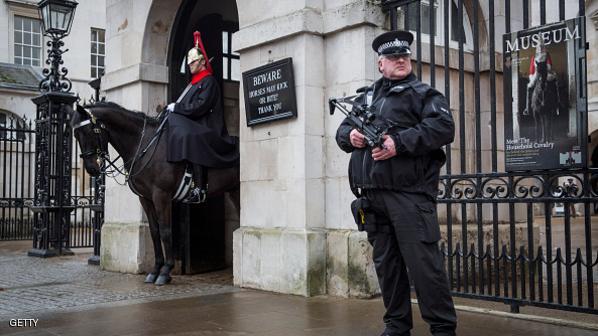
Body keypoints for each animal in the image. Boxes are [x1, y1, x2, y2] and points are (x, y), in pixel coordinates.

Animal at [66, 101, 241, 284]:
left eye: (90, 131)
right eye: (76, 135)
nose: (92, 169)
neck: (143, 146)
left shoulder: (161, 195)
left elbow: (165, 231)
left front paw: (166, 271)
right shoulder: (146, 198)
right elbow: (154, 232)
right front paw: (156, 269)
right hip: (235, 191)